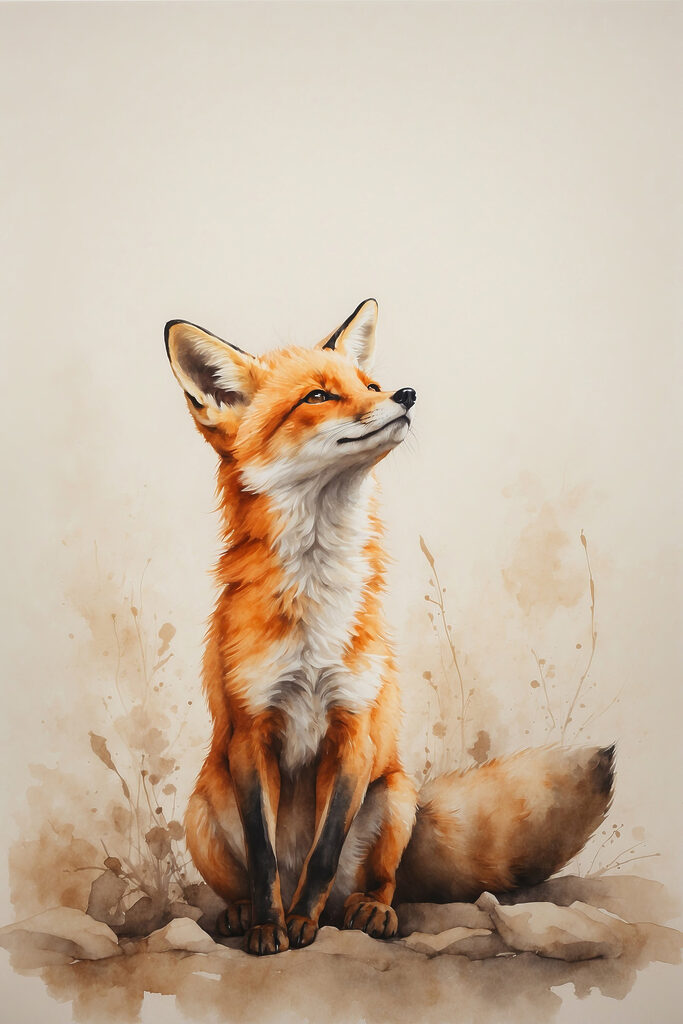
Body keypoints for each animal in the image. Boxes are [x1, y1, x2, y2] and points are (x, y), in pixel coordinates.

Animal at [164, 298, 615, 957]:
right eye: (319, 396)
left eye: (369, 385)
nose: (405, 393)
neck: (316, 603)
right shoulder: (251, 733)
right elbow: (264, 857)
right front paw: (271, 927)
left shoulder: (355, 729)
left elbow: (324, 855)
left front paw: (300, 925)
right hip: (202, 805)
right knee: (248, 878)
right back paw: (244, 914)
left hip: (397, 796)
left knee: (376, 881)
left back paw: (363, 911)